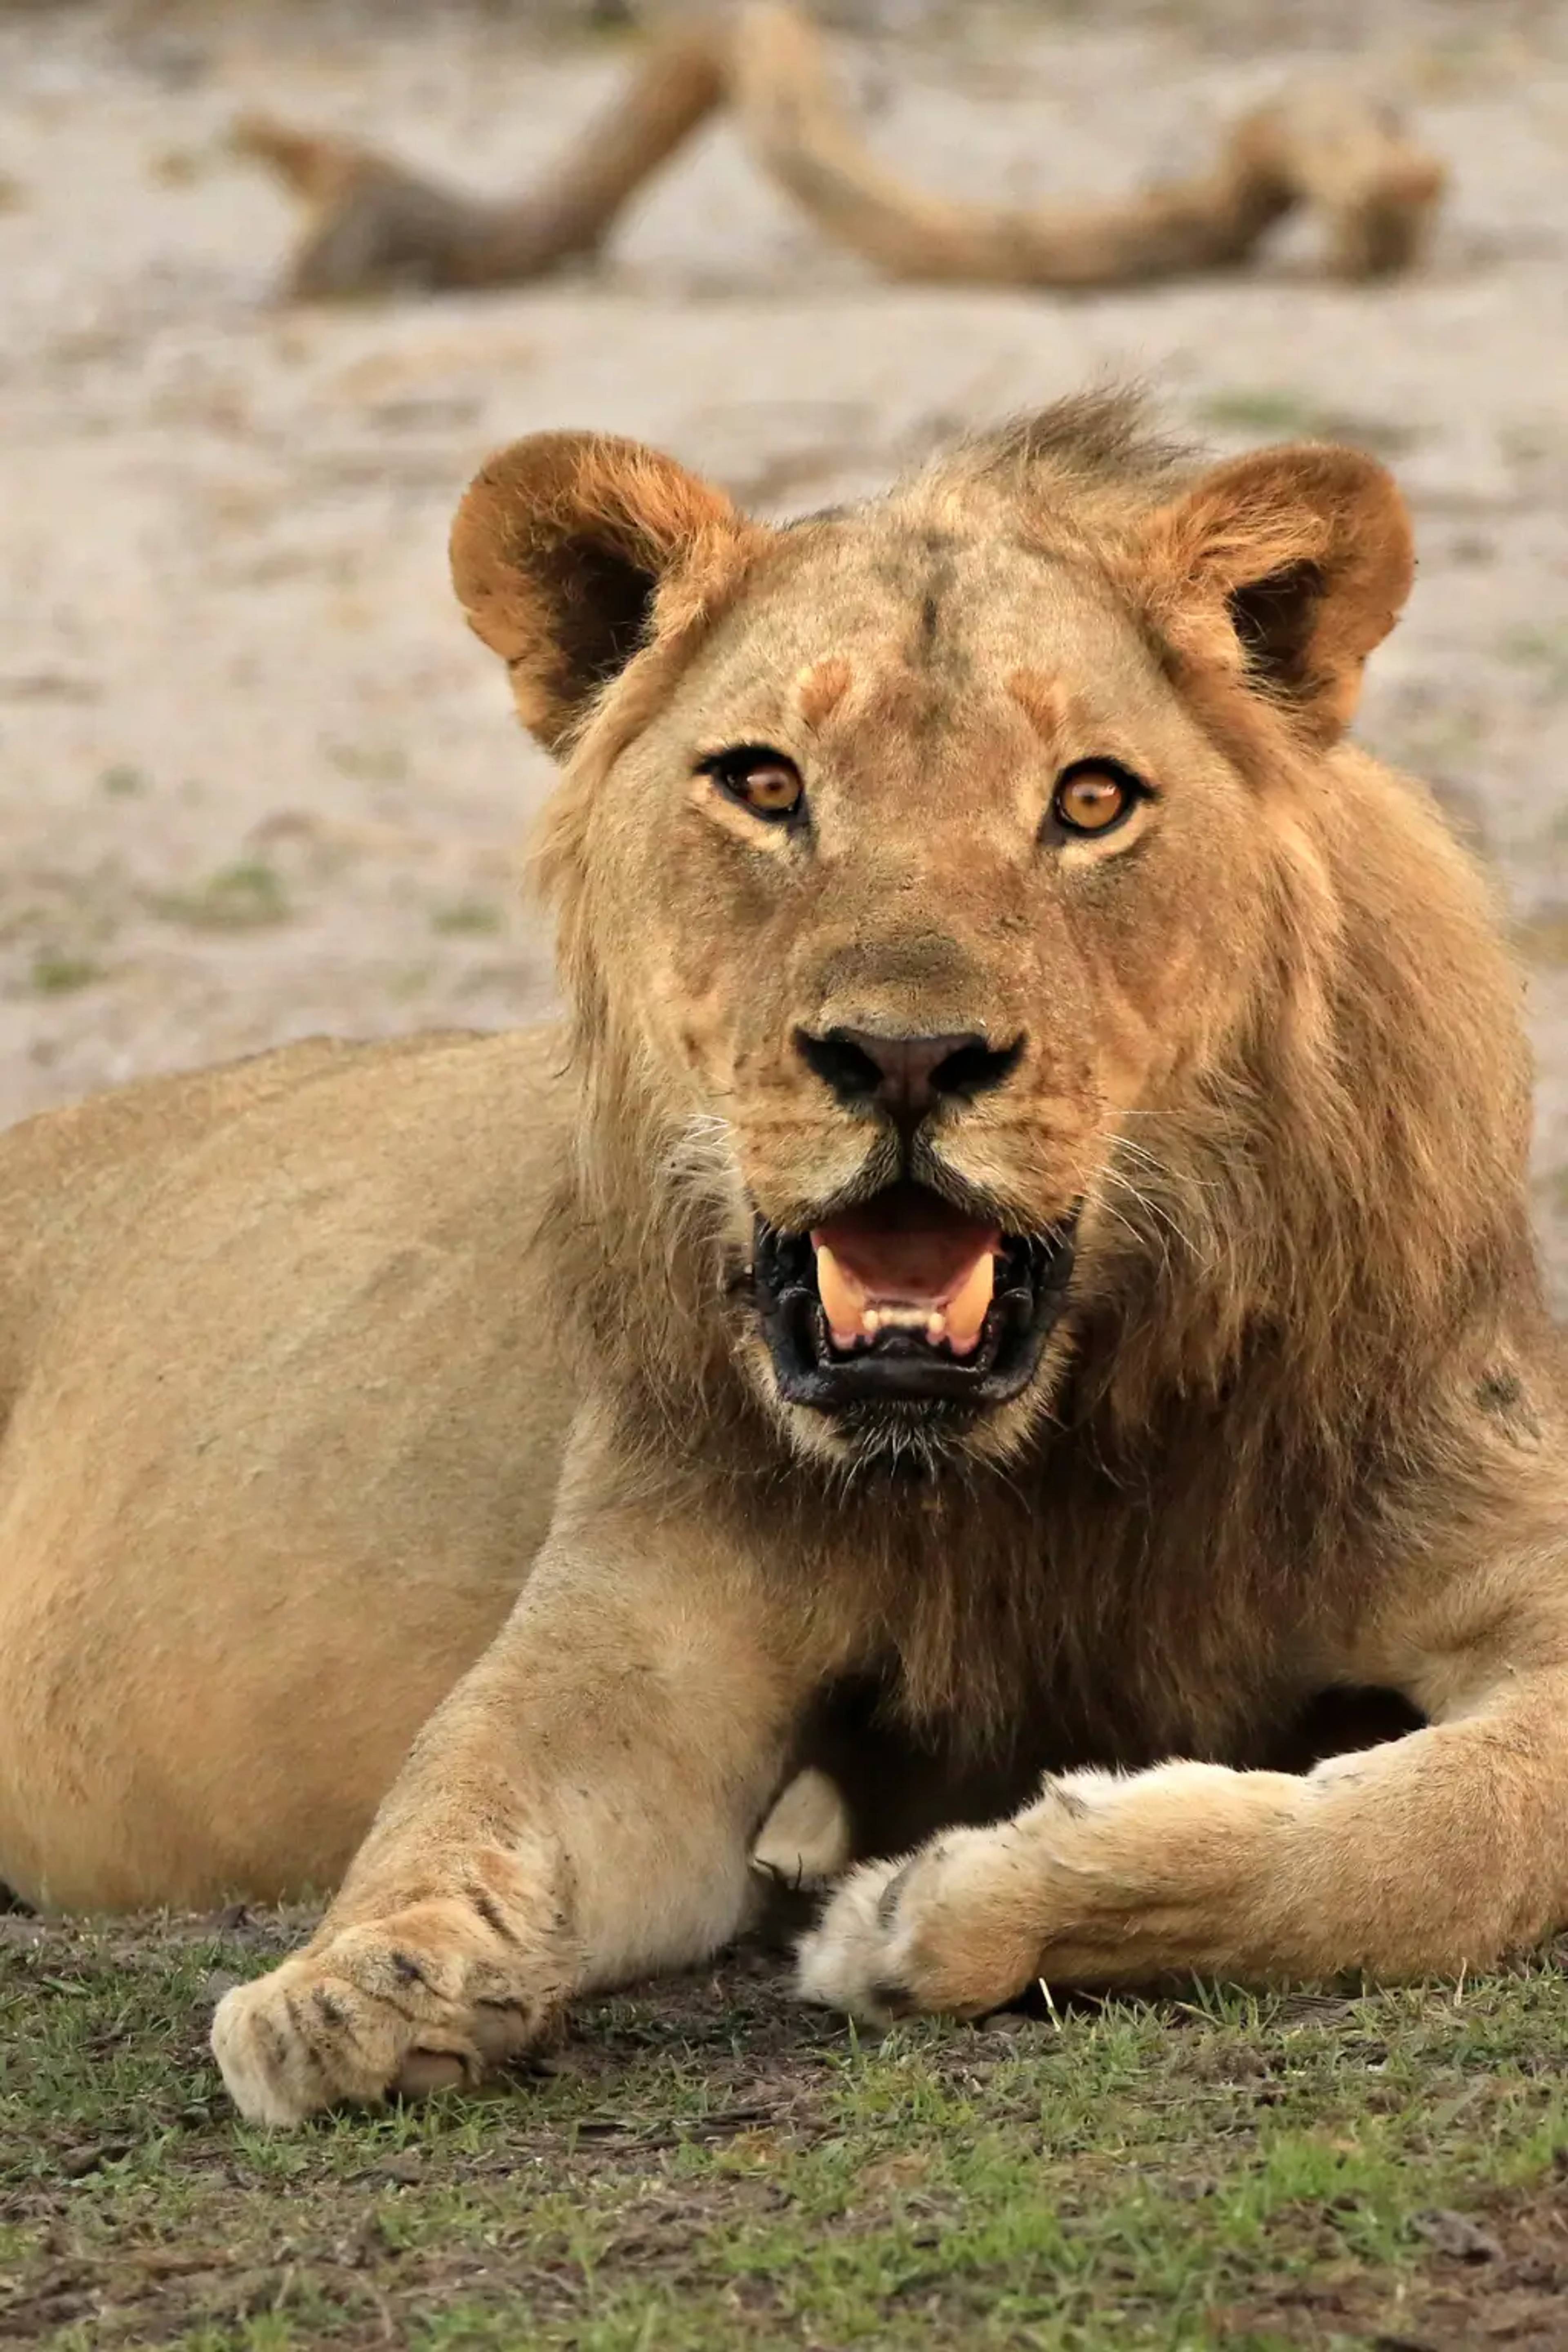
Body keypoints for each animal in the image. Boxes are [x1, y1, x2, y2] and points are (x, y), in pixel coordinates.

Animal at [0, 389, 1564, 2131]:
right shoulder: (648, 1621)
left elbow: (1437, 1841)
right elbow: (470, 1774)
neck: (1039, 1469)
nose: (906, 1055)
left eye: (1091, 801)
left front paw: (939, 1905)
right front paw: (360, 1983)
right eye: (765, 784)